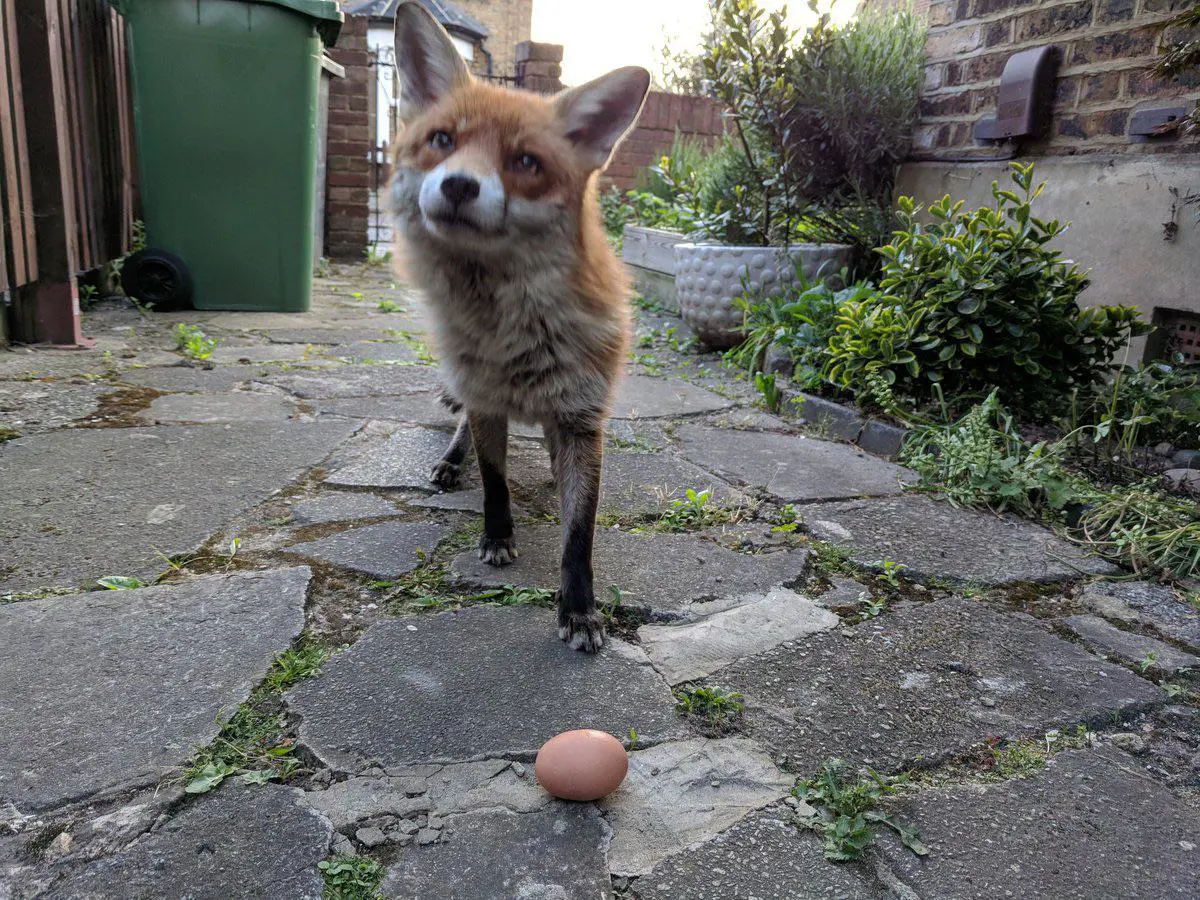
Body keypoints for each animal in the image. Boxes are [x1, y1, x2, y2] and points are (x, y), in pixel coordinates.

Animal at [388, 2, 651, 652]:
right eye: (443, 140)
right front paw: (497, 536)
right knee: (462, 430)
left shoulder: (581, 420)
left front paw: (579, 610)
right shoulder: (486, 400)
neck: (516, 330)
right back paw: (449, 462)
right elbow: (495, 481)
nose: (459, 184)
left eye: (525, 162)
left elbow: (579, 533)